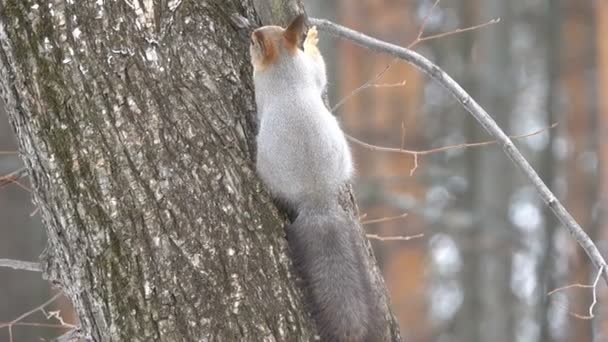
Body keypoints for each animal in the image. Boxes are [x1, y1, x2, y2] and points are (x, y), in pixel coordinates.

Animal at [249, 14, 382, 342]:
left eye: (254, 42)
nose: (251, 32)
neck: (285, 66)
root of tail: (317, 198)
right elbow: (319, 72)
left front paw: (311, 40)